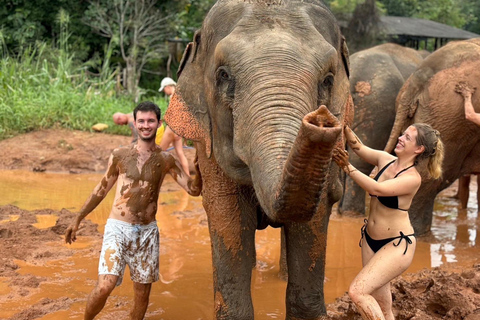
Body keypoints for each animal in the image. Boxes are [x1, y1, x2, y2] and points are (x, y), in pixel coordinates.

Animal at [163, 1, 350, 318]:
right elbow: (227, 213)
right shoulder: (208, 143)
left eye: (328, 80)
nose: (320, 119)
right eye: (224, 75)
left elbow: (314, 218)